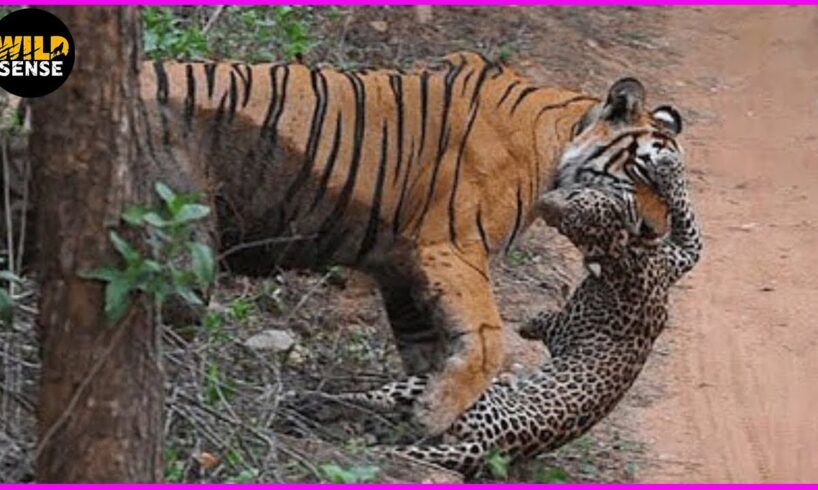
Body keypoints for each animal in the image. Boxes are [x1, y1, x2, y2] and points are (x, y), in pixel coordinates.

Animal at [138, 51, 684, 435]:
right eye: (645, 176)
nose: (653, 233)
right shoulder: (452, 247)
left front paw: (426, 408)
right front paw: (436, 414)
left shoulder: (401, 268)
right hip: (184, 243)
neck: (557, 142)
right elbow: (488, 339)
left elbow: (430, 347)